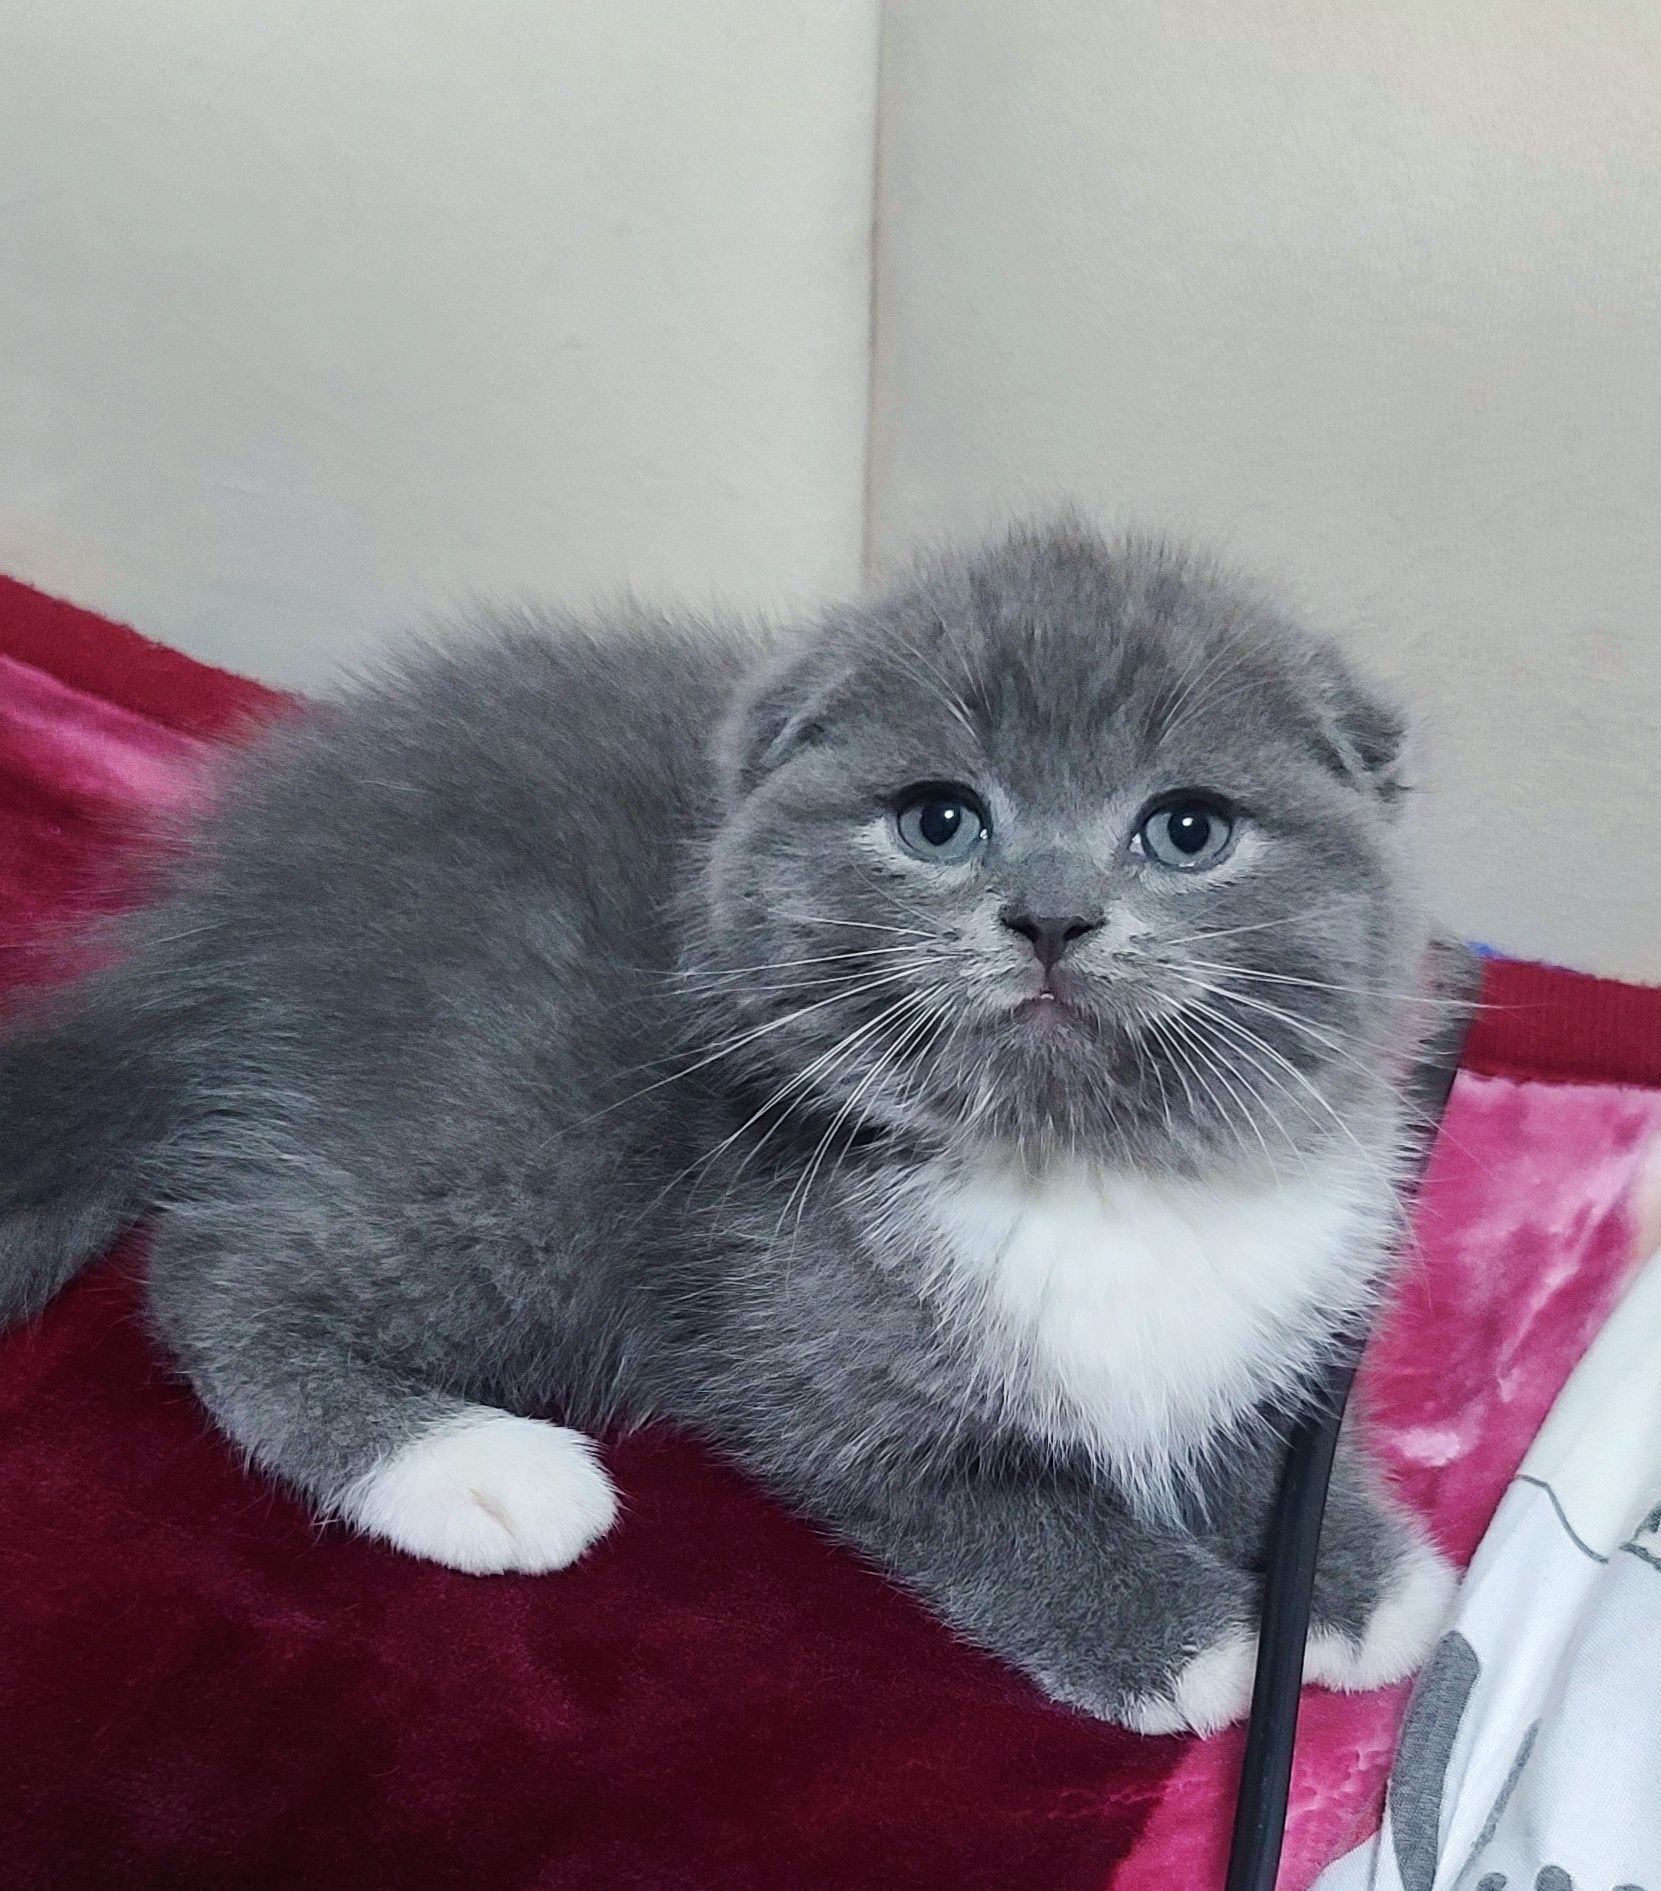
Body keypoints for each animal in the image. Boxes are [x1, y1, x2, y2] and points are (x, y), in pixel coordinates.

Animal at [0, 525, 1452, 1732]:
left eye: (1186, 828)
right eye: (939, 819)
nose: (1050, 912)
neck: (1078, 1165)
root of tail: (226, 915)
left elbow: (1273, 1436)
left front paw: (1359, 1575)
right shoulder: (793, 1341)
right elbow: (987, 1497)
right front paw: (1185, 1636)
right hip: (517, 1129)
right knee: (215, 1268)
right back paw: (472, 1465)